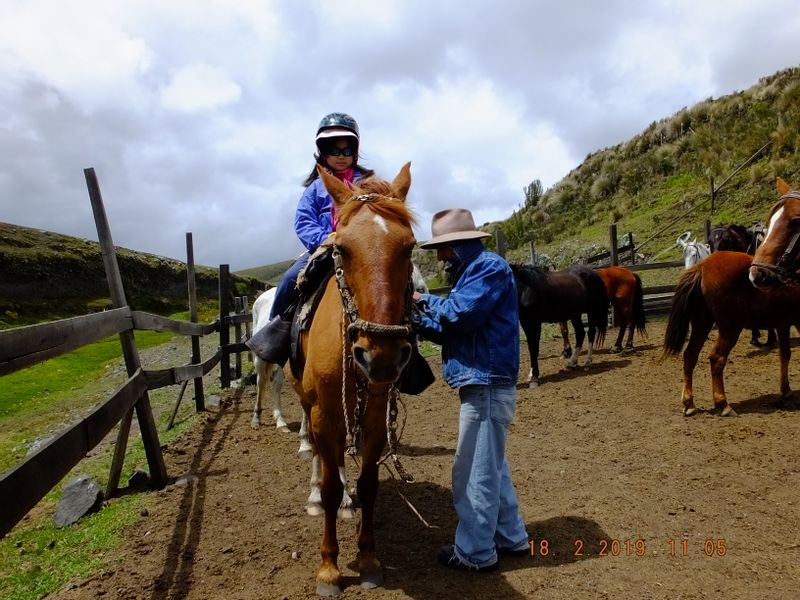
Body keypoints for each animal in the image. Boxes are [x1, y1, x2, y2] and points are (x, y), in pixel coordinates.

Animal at [292, 164, 418, 596]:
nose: (379, 356)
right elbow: (332, 486)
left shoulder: (377, 413)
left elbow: (368, 484)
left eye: (409, 247)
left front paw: (368, 560)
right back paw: (315, 495)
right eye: (341, 249)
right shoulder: (323, 413)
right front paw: (329, 569)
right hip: (308, 406)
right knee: (319, 456)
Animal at [664, 177, 800, 418]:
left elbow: (785, 354)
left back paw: (689, 403)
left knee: (690, 355)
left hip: (702, 323)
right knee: (716, 358)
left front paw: (785, 391)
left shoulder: (783, 322)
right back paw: (723, 404)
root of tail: (701, 267)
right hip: (729, 327)